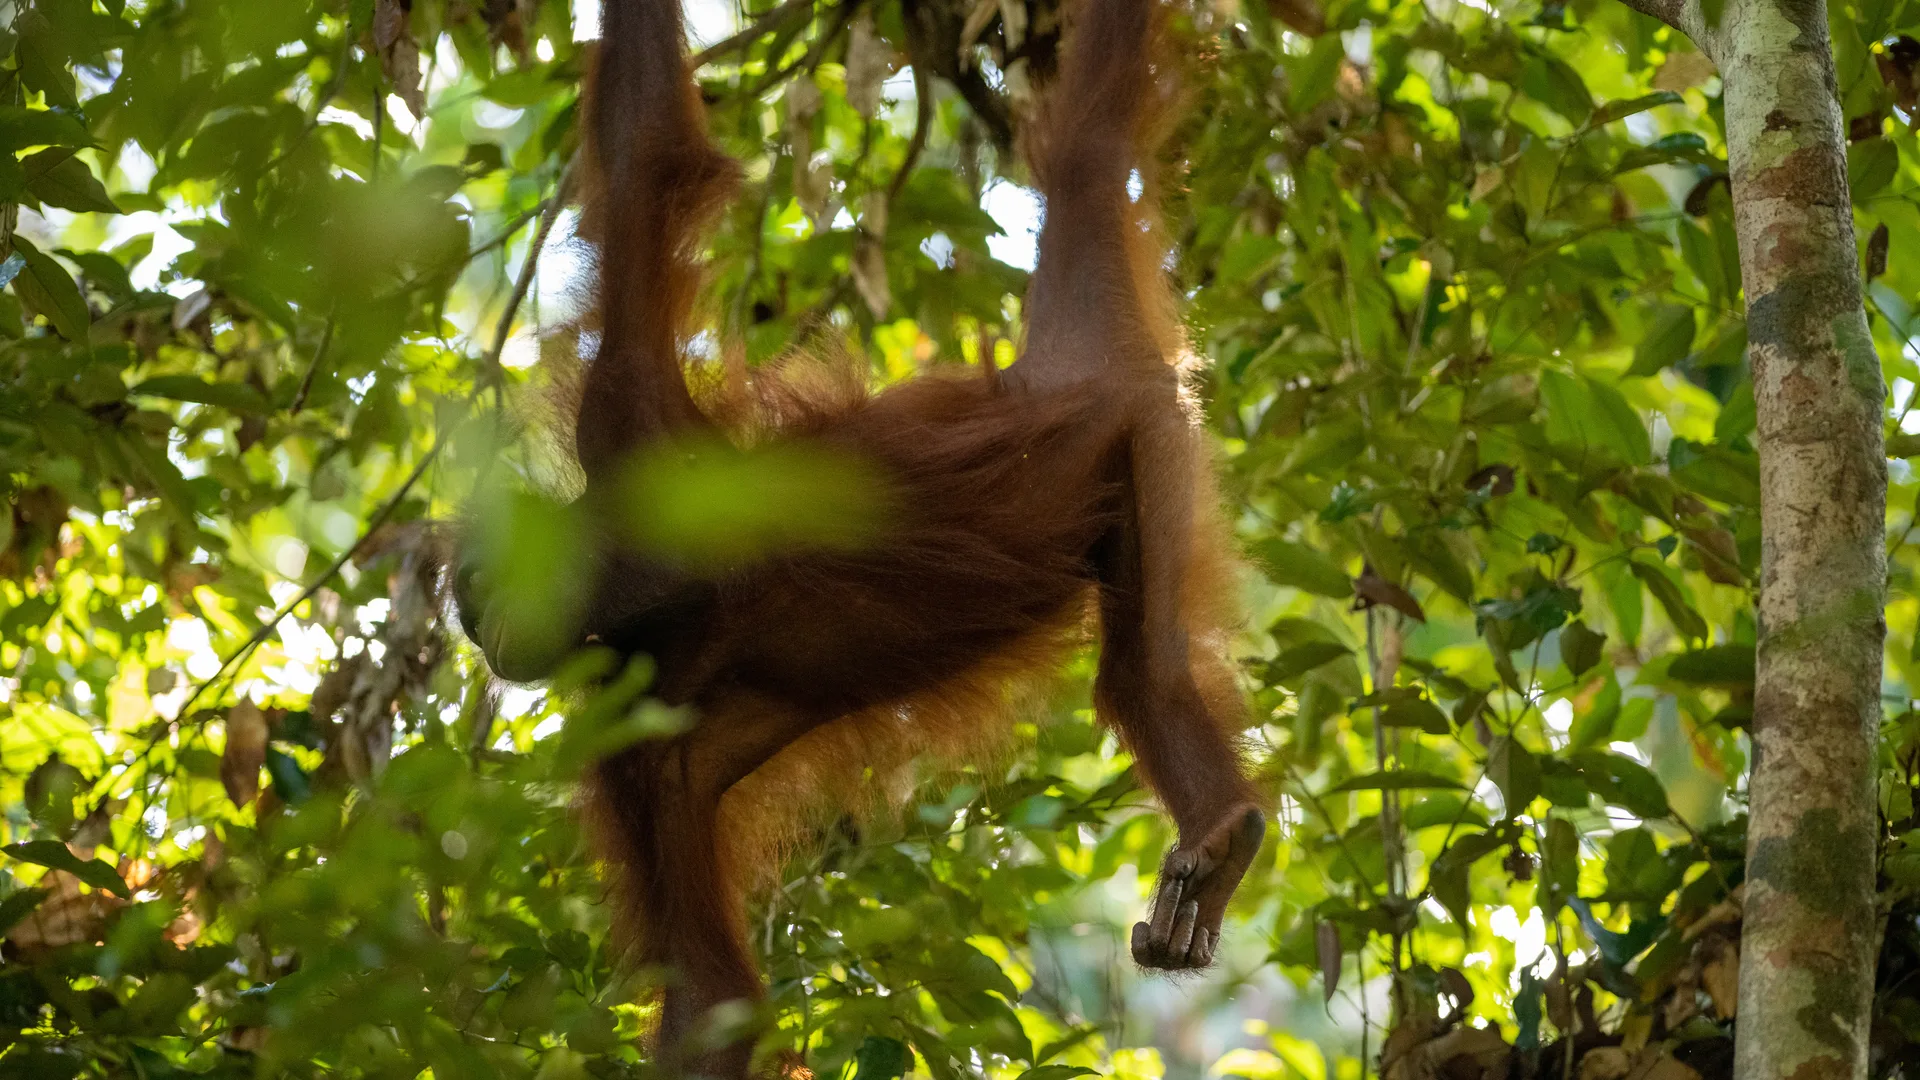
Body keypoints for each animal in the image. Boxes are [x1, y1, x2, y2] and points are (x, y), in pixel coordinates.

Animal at [453, 0, 1268, 1072]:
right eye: (469, 620)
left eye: (479, 595)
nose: (489, 641)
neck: (631, 585)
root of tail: (1049, 369)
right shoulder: (635, 737)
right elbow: (712, 1001)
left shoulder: (628, 430)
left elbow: (647, 159)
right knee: (1141, 672)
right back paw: (1225, 828)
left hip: (1147, 427)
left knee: (1148, 663)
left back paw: (1223, 829)